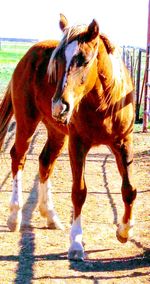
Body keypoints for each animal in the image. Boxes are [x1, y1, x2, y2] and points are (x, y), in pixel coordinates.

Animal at [49, 15, 137, 260]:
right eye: (57, 60)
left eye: (84, 60)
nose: (59, 107)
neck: (103, 104)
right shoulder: (77, 144)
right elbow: (79, 192)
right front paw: (76, 243)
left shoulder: (123, 143)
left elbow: (129, 189)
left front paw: (125, 231)